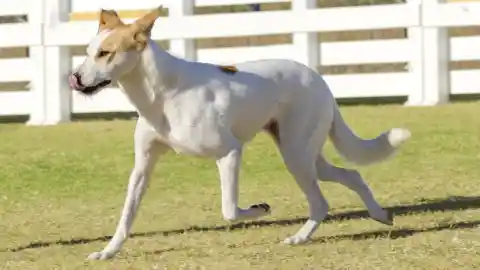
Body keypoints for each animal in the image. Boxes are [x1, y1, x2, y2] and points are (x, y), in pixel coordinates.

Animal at [69, 6, 410, 260]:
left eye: (105, 53)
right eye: (88, 51)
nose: (74, 78)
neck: (163, 92)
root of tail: (318, 78)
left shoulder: (229, 152)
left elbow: (230, 210)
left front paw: (259, 209)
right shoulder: (143, 166)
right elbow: (126, 215)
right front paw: (107, 252)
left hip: (296, 155)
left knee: (321, 201)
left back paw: (301, 237)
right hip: (306, 155)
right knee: (351, 175)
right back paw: (378, 216)